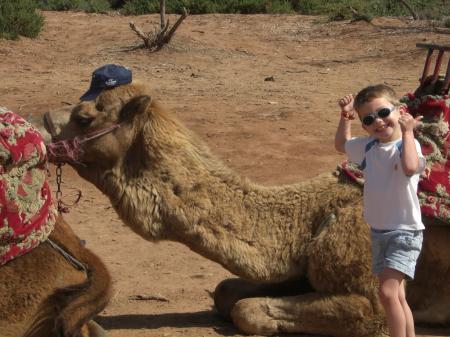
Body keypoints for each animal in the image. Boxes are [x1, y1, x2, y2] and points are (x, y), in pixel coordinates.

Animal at [40, 82, 450, 336]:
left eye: (84, 117)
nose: (43, 124)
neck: (308, 217)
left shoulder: (369, 296)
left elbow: (246, 309)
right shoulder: (297, 266)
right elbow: (226, 292)